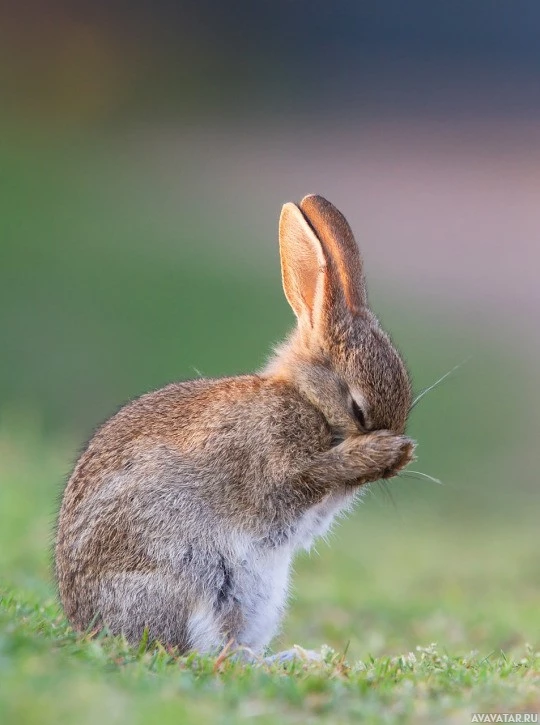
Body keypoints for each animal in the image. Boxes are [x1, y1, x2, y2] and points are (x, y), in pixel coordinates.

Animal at [54, 192, 416, 656]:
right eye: (357, 409)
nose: (395, 458)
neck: (306, 398)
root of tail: (89, 625)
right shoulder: (277, 464)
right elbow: (307, 477)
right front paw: (382, 452)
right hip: (190, 579)